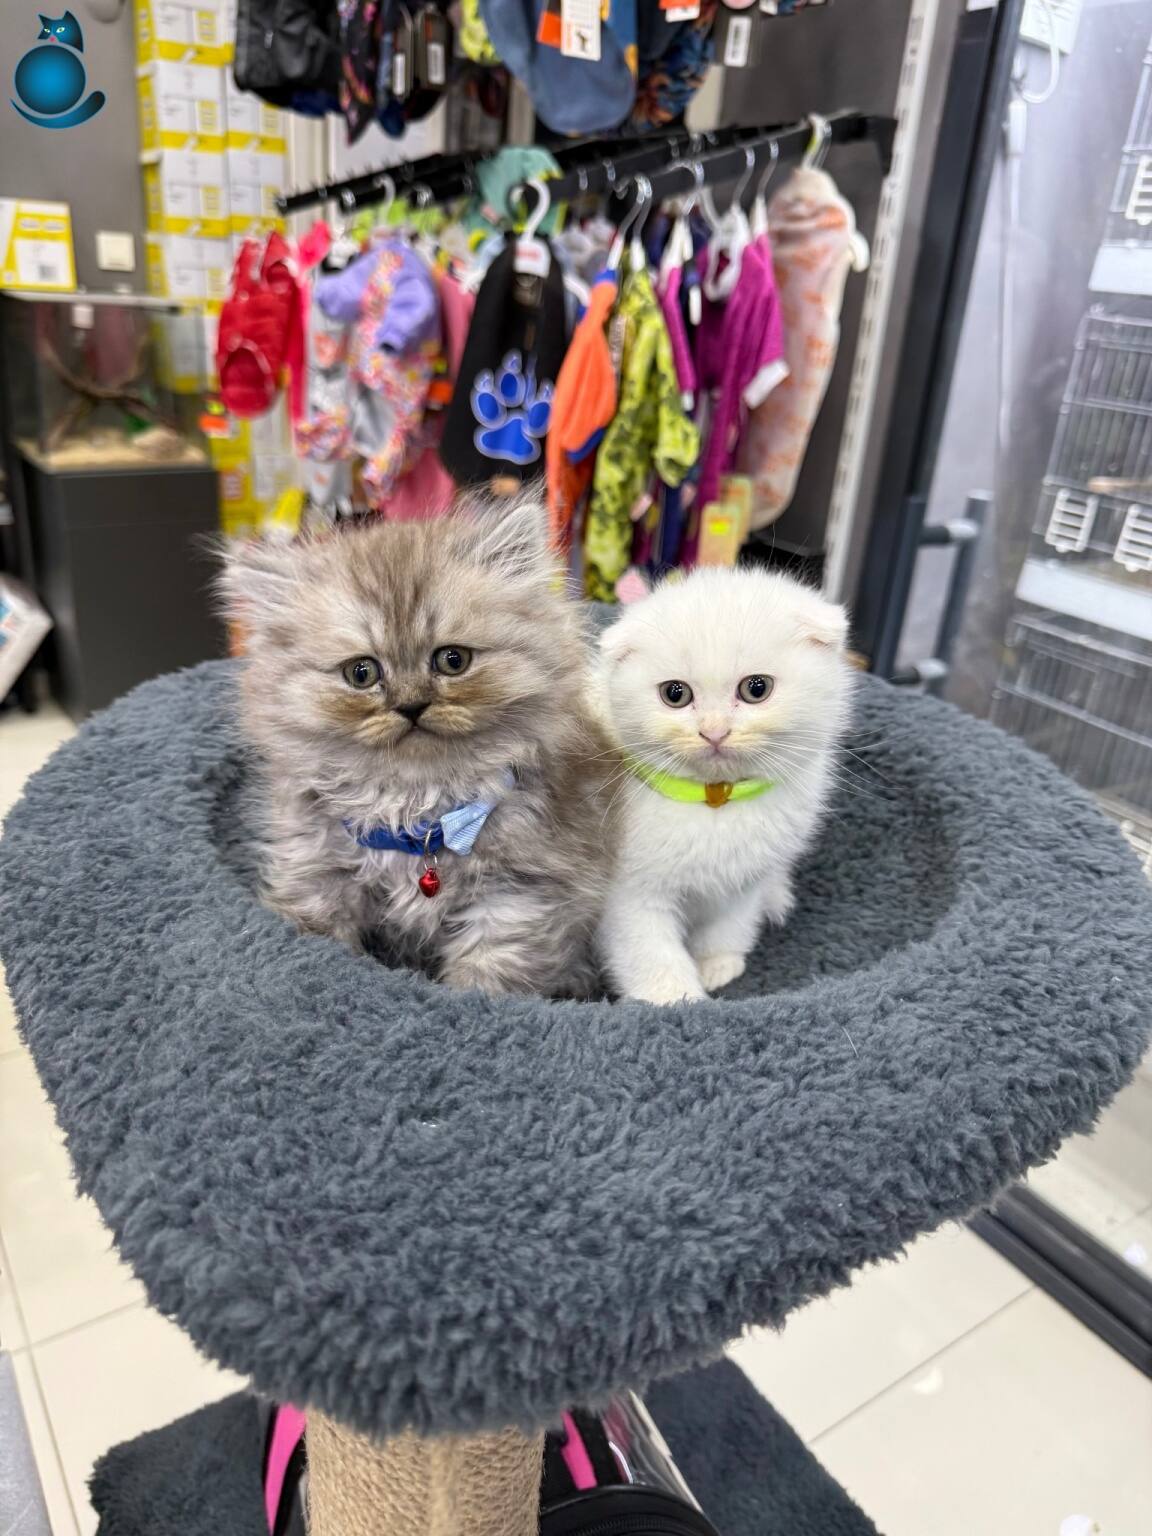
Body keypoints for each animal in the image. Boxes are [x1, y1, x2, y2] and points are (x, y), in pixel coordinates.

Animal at [220, 493, 615, 997]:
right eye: (361, 673)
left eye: (453, 660)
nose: (411, 706)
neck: (417, 812)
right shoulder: (314, 873)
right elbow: (321, 941)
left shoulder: (517, 897)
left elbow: (487, 976)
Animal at [591, 567, 852, 1005]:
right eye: (675, 694)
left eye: (756, 688)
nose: (714, 731)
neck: (715, 800)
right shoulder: (629, 894)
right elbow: (649, 951)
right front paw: (675, 999)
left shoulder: (744, 881)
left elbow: (729, 923)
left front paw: (719, 963)